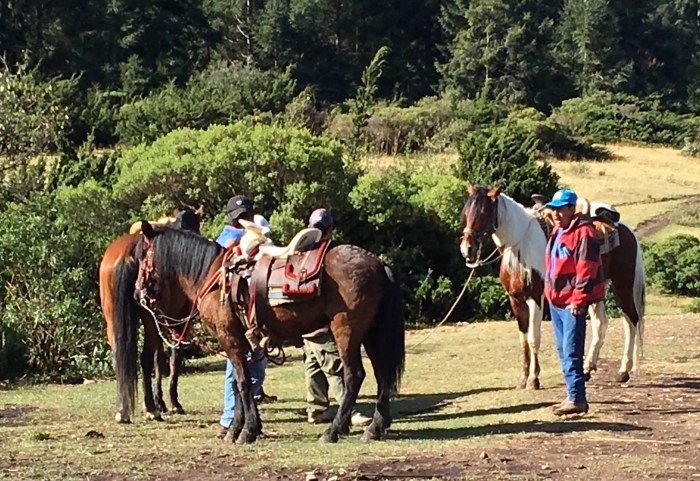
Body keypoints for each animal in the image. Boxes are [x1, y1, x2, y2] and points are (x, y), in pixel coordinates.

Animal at [99, 207, 203, 422]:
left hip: (113, 320)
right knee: (144, 357)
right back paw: (150, 408)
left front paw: (161, 401)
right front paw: (172, 403)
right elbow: (173, 357)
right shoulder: (179, 322)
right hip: (149, 318)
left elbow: (159, 358)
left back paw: (123, 409)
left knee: (118, 357)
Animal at [112, 225, 405, 444]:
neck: (212, 276)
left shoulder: (229, 339)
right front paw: (237, 428)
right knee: (382, 374)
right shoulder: (240, 342)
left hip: (346, 331)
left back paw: (333, 431)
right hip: (371, 333)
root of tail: (379, 264)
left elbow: (242, 383)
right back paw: (375, 427)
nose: (137, 294)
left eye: (142, 255)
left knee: (354, 375)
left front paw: (246, 431)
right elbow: (239, 383)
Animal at [460, 186, 645, 387]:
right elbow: (523, 339)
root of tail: (625, 228)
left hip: (623, 283)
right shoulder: (515, 298)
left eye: (483, 213)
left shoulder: (535, 297)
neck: (521, 247)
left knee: (631, 320)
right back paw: (588, 369)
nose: (467, 249)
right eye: (465, 213)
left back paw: (623, 370)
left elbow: (533, 338)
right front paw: (523, 378)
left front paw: (533, 379)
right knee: (601, 324)